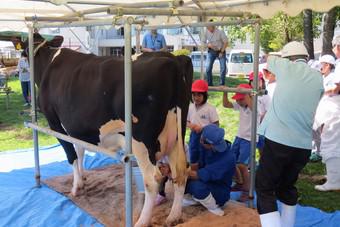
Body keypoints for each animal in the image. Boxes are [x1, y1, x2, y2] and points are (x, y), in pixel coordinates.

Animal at [12, 33, 194, 227]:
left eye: (23, 53)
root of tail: (173, 60)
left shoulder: (54, 123)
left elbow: (72, 155)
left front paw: (76, 187)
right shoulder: (77, 128)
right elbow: (80, 150)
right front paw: (82, 178)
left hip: (141, 142)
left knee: (153, 179)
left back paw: (142, 221)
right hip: (176, 135)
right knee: (181, 171)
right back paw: (173, 216)